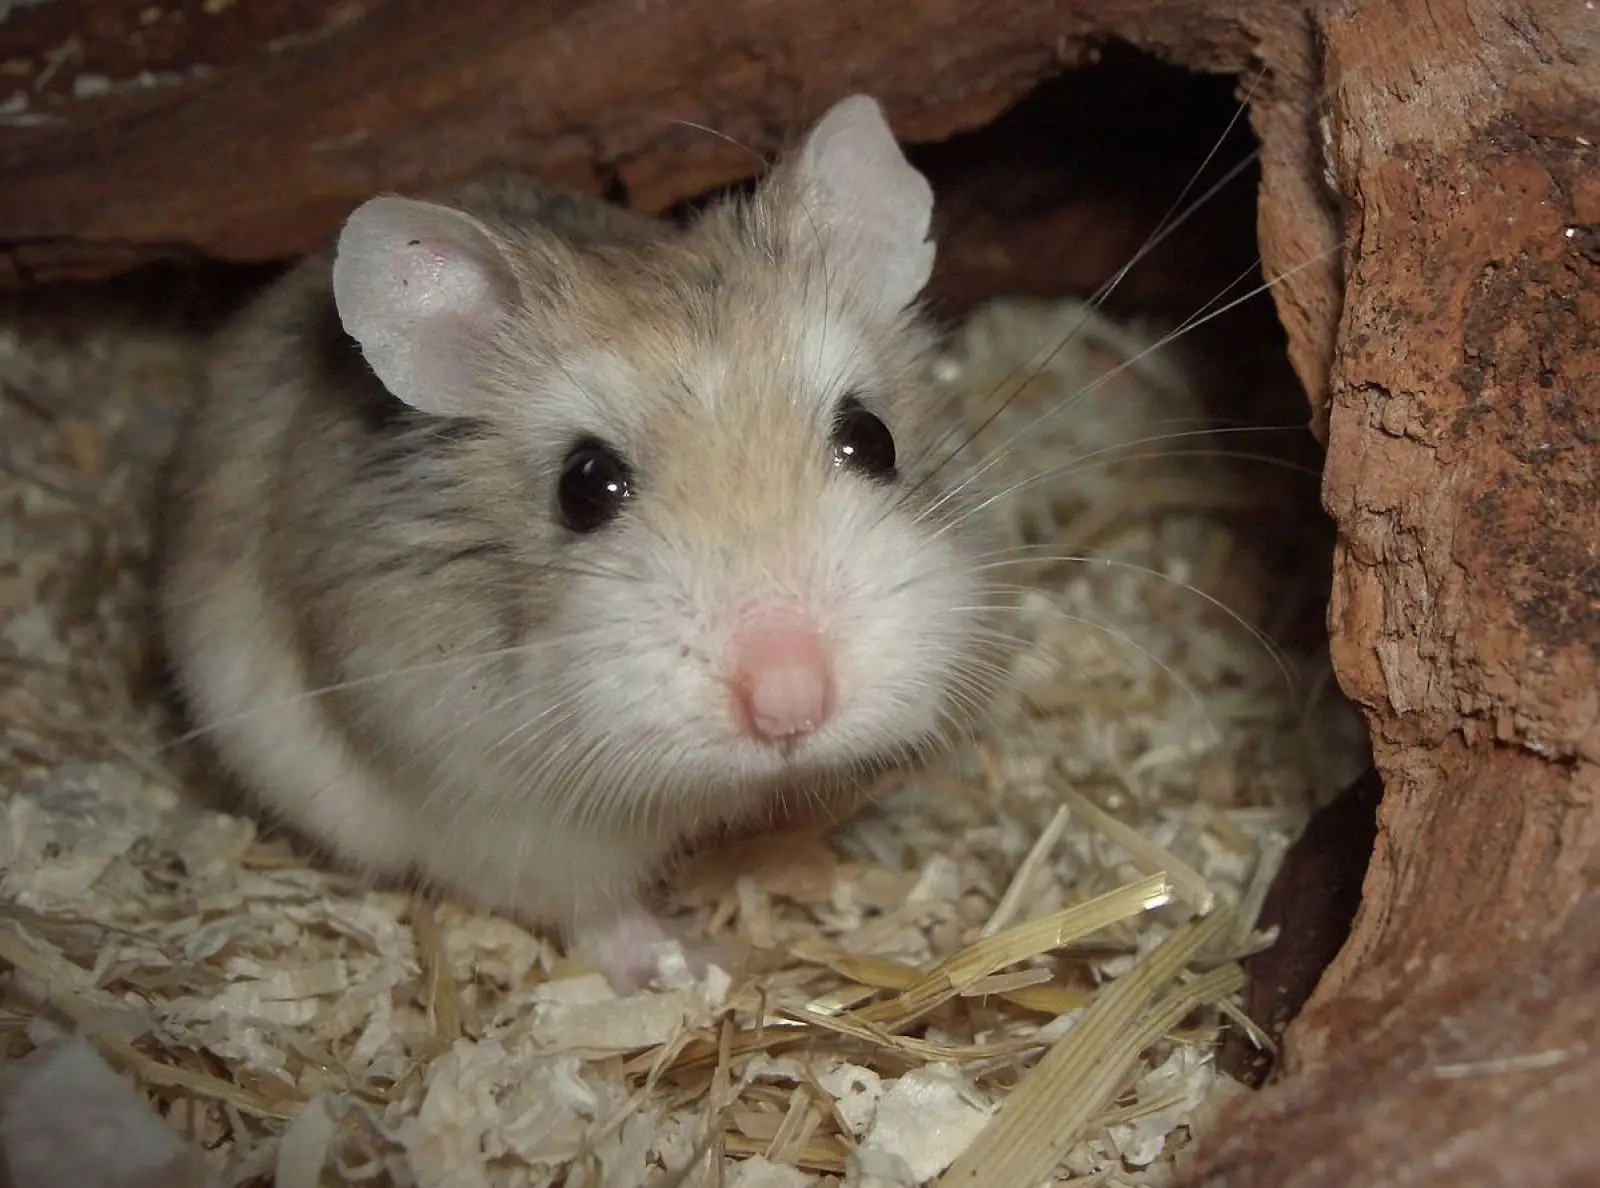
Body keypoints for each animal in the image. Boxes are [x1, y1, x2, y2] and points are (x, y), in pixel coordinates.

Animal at [156, 95, 1011, 990]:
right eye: (584, 485)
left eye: (873, 440)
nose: (789, 705)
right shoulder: (501, 816)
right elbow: (595, 911)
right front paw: (695, 963)